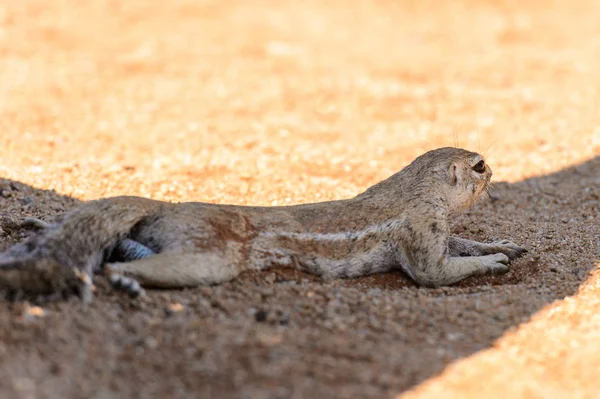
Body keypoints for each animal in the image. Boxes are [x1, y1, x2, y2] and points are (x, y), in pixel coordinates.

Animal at [0, 148, 524, 302]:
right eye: (478, 166)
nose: (493, 165)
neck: (413, 189)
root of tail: (161, 205)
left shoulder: (436, 228)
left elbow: (462, 241)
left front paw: (503, 244)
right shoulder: (420, 229)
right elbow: (435, 272)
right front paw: (494, 262)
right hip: (211, 256)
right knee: (118, 266)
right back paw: (125, 281)